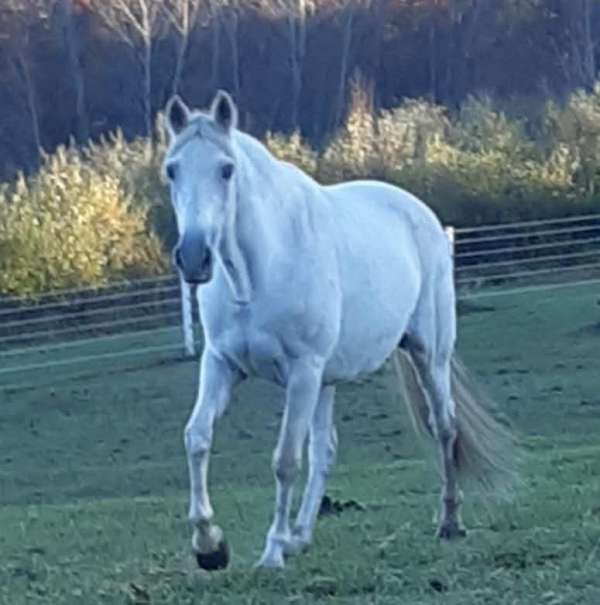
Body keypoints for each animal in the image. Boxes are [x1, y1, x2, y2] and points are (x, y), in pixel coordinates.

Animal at [162, 91, 512, 572]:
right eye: (172, 169)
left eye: (226, 169)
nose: (194, 257)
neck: (258, 271)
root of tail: (421, 214)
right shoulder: (222, 364)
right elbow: (196, 438)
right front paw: (209, 545)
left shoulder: (302, 372)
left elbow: (285, 459)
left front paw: (271, 552)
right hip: (326, 380)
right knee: (325, 451)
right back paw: (301, 536)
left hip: (426, 355)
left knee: (444, 426)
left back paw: (449, 521)